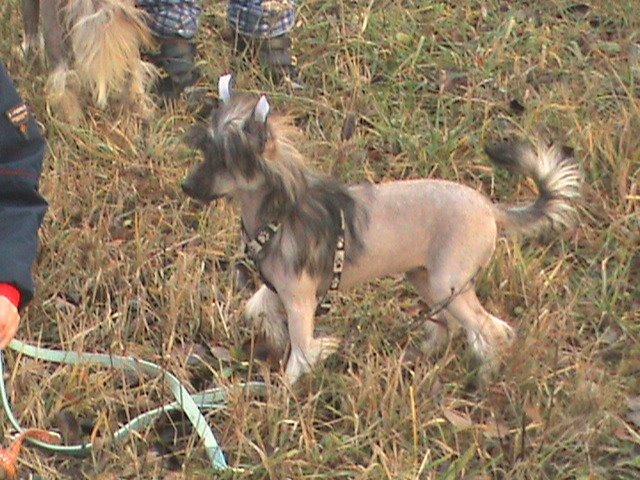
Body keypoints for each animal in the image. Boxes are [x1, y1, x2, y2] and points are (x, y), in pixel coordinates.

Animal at [21, 0, 156, 122]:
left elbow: (30, 28)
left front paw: (26, 54)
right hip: (129, 41)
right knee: (136, 74)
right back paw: (140, 108)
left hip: (52, 28)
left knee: (61, 78)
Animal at [181, 77, 584, 384]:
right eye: (204, 151)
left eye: (225, 161)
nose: (186, 187)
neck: (278, 214)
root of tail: (490, 208)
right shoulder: (277, 289)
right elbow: (257, 310)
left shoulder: (299, 301)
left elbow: (302, 350)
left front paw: (289, 388)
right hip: (427, 280)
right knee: (463, 325)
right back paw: (428, 354)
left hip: (447, 283)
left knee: (488, 330)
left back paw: (484, 377)